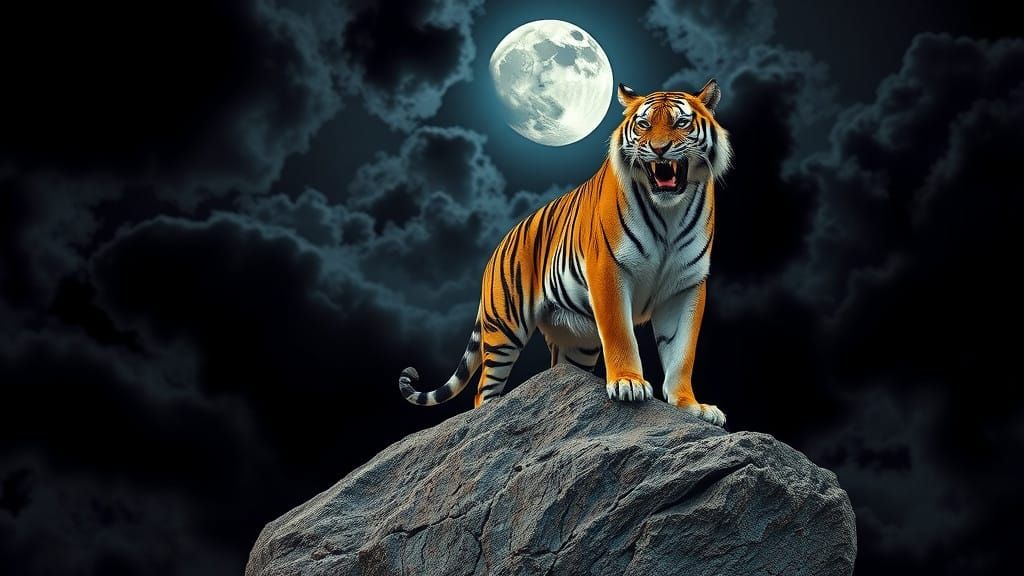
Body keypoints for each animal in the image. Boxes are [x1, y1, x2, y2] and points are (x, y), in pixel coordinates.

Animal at [399, 79, 732, 426]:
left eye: (681, 123)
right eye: (644, 125)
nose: (659, 149)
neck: (669, 212)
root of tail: (497, 248)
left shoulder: (687, 285)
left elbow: (682, 352)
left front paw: (691, 406)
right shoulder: (609, 270)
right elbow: (621, 334)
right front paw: (628, 383)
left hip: (576, 343)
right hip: (505, 328)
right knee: (483, 391)